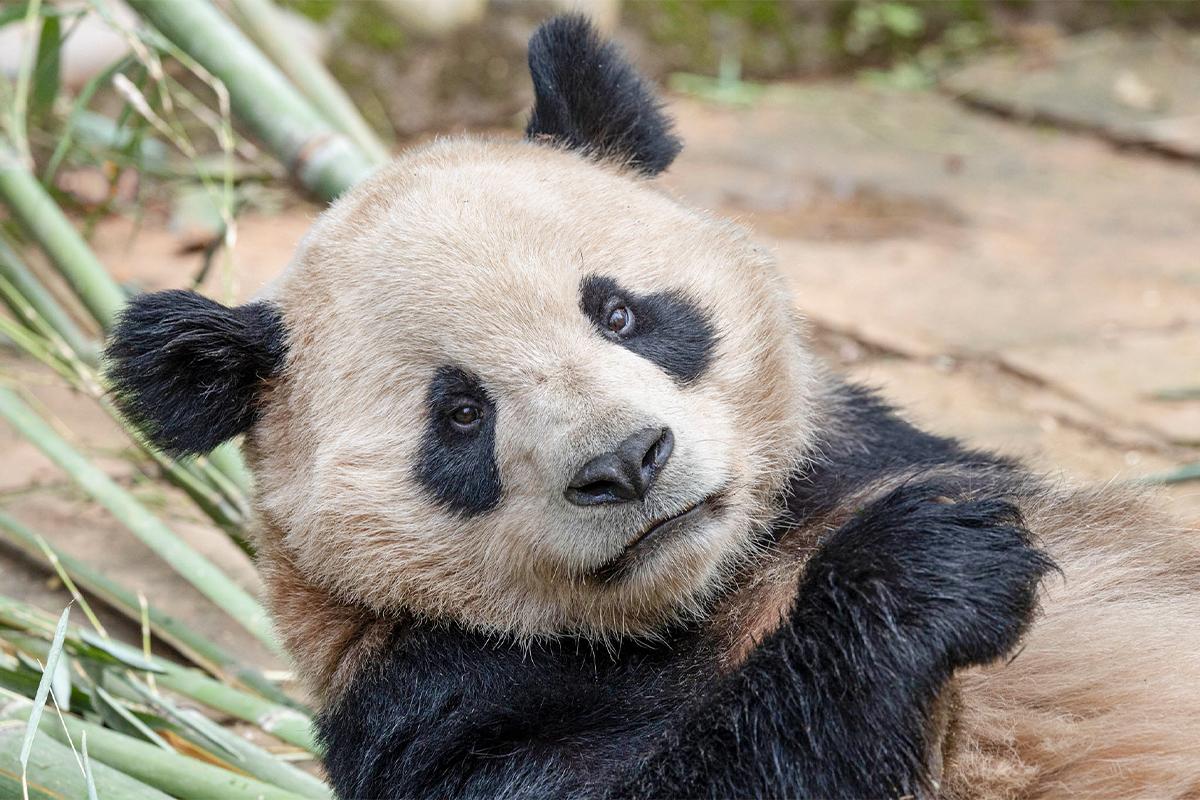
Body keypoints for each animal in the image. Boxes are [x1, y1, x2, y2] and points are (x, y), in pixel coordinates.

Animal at [104, 15, 1200, 800]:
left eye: (620, 311)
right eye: (459, 415)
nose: (628, 461)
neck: (707, 592)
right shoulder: (436, 703)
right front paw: (922, 566)